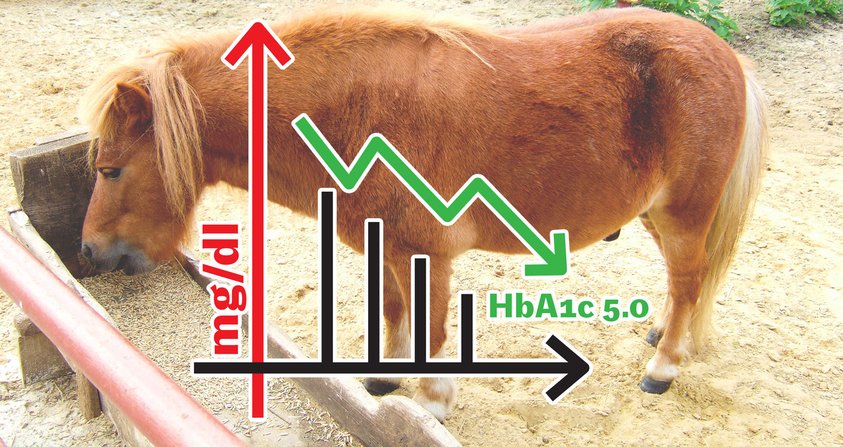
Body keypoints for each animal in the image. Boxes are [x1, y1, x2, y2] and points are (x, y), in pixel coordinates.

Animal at [78, 7, 767, 422]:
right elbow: (392, 310)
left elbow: (432, 332)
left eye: (111, 169)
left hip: (682, 214)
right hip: (657, 214)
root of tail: (725, 55)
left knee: (688, 282)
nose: (87, 250)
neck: (357, 116)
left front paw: (432, 402)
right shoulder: (384, 247)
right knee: (686, 284)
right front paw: (384, 380)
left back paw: (663, 367)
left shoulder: (426, 253)